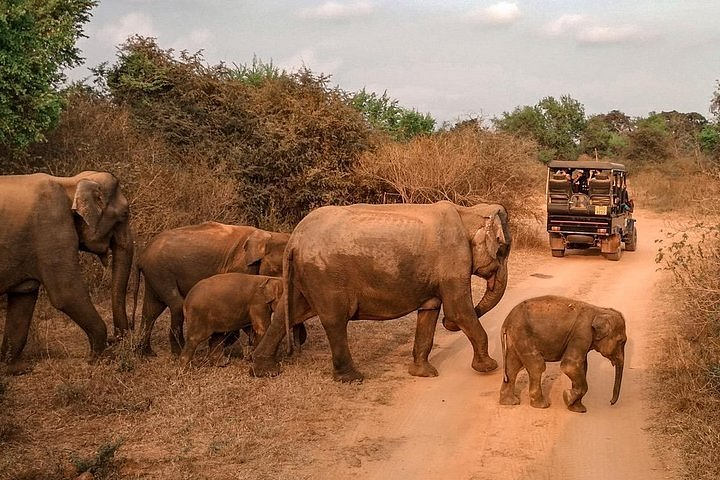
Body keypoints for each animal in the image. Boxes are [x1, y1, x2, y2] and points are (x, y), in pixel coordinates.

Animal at [0, 171, 134, 373]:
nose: (115, 339)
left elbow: (24, 297)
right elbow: (67, 295)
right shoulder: (53, 230)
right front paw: (103, 358)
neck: (70, 182)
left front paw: (18, 369)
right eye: (125, 213)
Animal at [134, 222, 303, 356]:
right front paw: (228, 342)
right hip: (161, 272)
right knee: (175, 306)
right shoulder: (241, 267)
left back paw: (146, 353)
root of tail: (141, 256)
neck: (267, 236)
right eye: (281, 269)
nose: (297, 348)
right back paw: (177, 352)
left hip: (154, 275)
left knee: (151, 310)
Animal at [251, 200, 512, 382]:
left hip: (305, 274)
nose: (447, 325)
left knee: (288, 313)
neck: (468, 211)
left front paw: (424, 374)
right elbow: (459, 310)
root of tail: (295, 237)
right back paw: (352, 379)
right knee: (334, 320)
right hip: (325, 275)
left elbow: (429, 311)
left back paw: (264, 370)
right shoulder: (454, 258)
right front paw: (488, 368)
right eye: (503, 250)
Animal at [499, 295, 627, 413]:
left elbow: (582, 367)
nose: (610, 402)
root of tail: (506, 322)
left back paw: (510, 402)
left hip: (515, 338)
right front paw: (567, 397)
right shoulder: (582, 333)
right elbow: (569, 366)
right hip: (523, 335)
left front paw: (577, 409)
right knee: (537, 366)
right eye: (621, 342)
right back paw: (542, 405)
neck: (599, 310)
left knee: (512, 367)